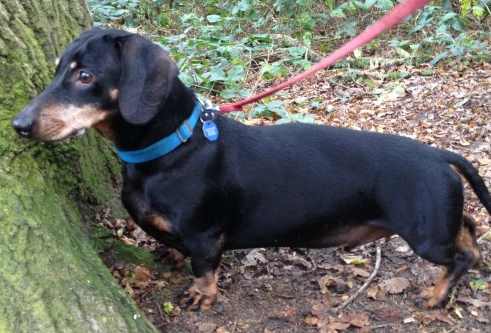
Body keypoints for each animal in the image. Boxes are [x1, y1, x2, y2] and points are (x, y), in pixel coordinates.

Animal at [13, 27, 490, 308]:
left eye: (86, 76)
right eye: (58, 69)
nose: (19, 124)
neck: (175, 147)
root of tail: (439, 155)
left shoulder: (205, 237)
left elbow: (204, 270)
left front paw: (200, 297)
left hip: (425, 235)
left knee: (460, 255)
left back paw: (436, 295)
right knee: (469, 229)